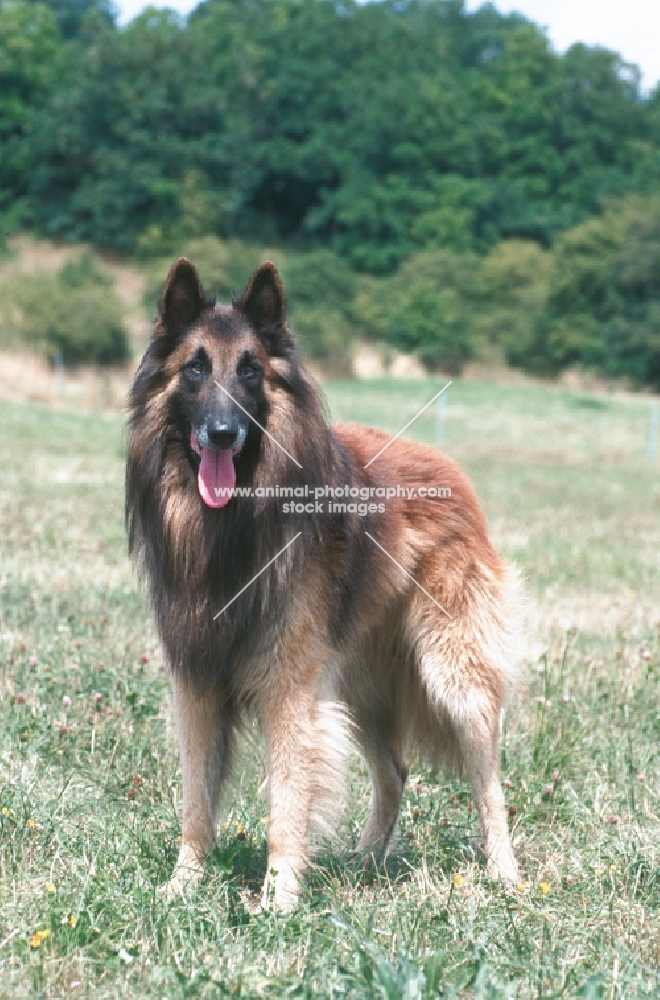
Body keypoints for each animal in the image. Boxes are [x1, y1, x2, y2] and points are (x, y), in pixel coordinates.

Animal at [126, 256, 520, 908]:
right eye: (195, 369)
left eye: (251, 370)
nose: (222, 433)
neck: (234, 524)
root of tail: (453, 473)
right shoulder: (198, 680)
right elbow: (197, 800)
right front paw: (182, 885)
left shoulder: (289, 686)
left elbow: (287, 797)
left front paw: (281, 898)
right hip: (360, 685)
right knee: (394, 771)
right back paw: (364, 860)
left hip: (451, 675)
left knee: (487, 777)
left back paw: (505, 873)